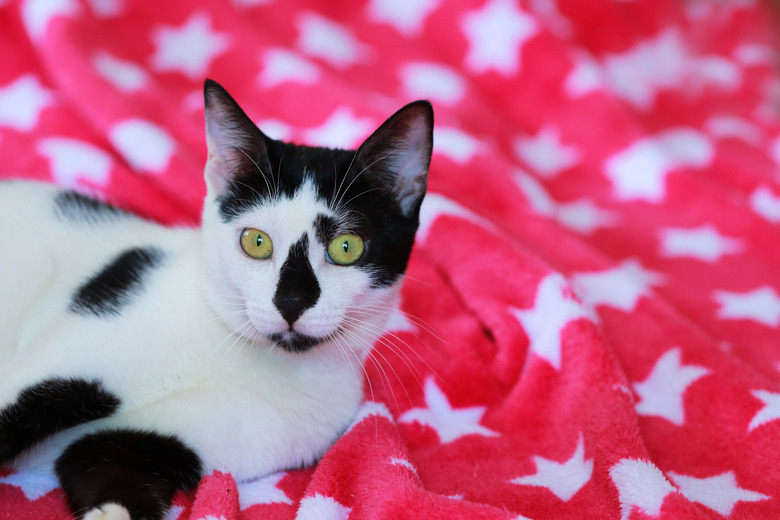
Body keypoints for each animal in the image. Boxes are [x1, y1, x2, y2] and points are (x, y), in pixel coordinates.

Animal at [0, 78, 432, 520]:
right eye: (256, 241)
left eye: (347, 248)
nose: (292, 301)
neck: (245, 358)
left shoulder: (143, 444)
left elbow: (109, 474)